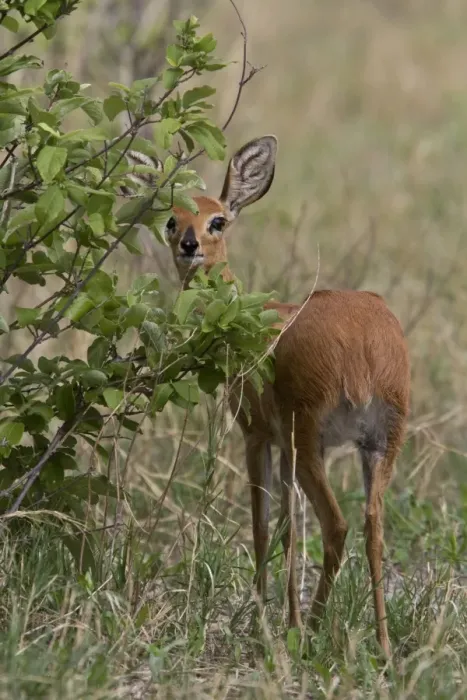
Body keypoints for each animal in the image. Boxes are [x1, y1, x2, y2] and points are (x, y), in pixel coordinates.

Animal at [127, 136, 410, 657]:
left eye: (217, 219)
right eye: (171, 218)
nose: (189, 246)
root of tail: (362, 347)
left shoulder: (256, 434)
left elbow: (262, 524)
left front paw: (266, 622)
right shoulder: (284, 447)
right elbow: (287, 528)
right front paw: (286, 621)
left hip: (309, 438)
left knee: (337, 525)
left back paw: (315, 632)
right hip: (380, 441)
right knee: (373, 525)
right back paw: (381, 646)